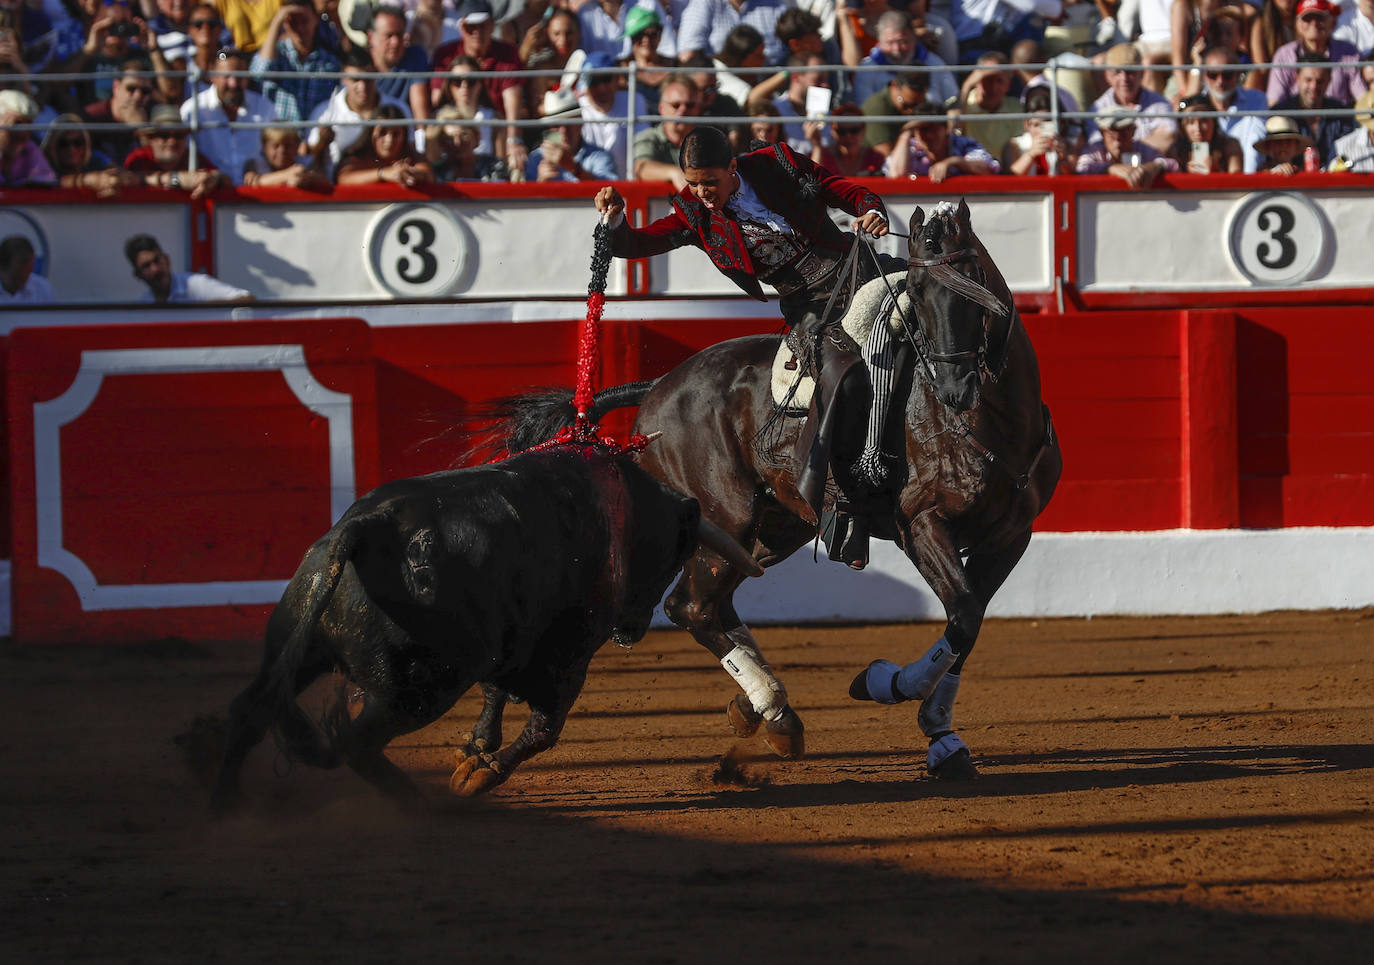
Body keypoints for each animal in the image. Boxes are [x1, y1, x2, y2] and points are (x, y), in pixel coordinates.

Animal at [211, 450, 763, 813]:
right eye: (671, 560)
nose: (634, 629)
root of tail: (366, 526)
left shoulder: (510, 645)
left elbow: (497, 695)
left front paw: (473, 752)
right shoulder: (568, 655)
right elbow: (543, 727)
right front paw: (479, 775)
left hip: (295, 648)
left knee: (251, 709)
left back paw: (225, 796)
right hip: (417, 691)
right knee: (355, 742)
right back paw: (424, 806)